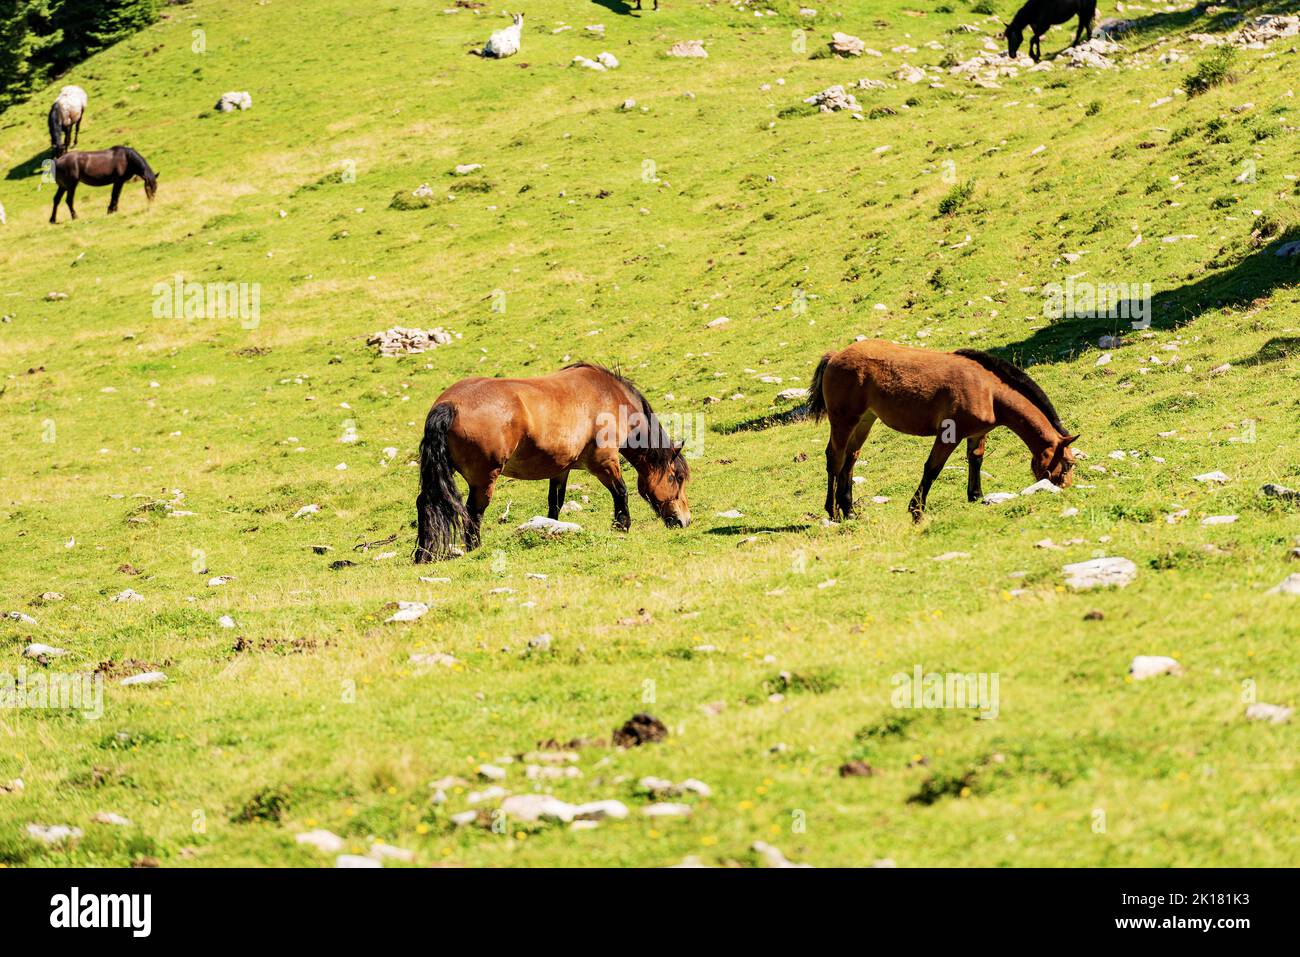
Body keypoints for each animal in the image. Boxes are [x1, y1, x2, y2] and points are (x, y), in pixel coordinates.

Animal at [418, 364, 696, 561]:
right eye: (676, 478)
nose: (685, 521)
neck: (611, 397)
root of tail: (449, 404)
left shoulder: (561, 470)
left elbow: (555, 504)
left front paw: (550, 529)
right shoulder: (604, 462)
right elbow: (621, 492)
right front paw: (622, 526)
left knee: (426, 504)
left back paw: (423, 554)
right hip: (485, 478)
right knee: (473, 512)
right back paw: (475, 548)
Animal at [811, 340, 1076, 522]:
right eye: (1068, 464)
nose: (1065, 489)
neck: (989, 391)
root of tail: (835, 356)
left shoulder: (977, 434)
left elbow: (975, 460)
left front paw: (976, 496)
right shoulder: (950, 435)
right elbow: (932, 469)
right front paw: (916, 509)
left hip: (864, 421)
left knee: (850, 460)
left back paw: (849, 510)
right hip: (844, 421)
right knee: (835, 459)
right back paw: (833, 512)